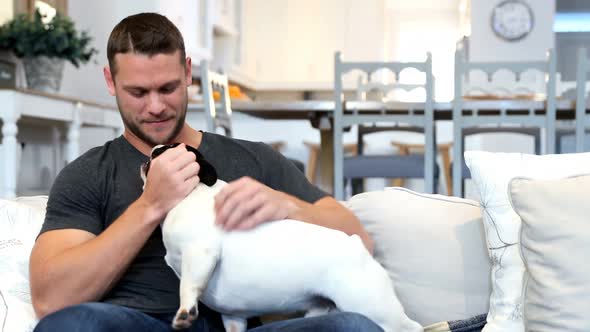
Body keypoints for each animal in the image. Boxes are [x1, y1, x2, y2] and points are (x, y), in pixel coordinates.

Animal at [141, 143, 424, 332]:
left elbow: (188, 286)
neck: (191, 194)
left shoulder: (200, 253)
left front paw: (185, 312)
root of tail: (357, 245)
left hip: (372, 303)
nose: (148, 155)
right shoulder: (233, 318)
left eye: (160, 154)